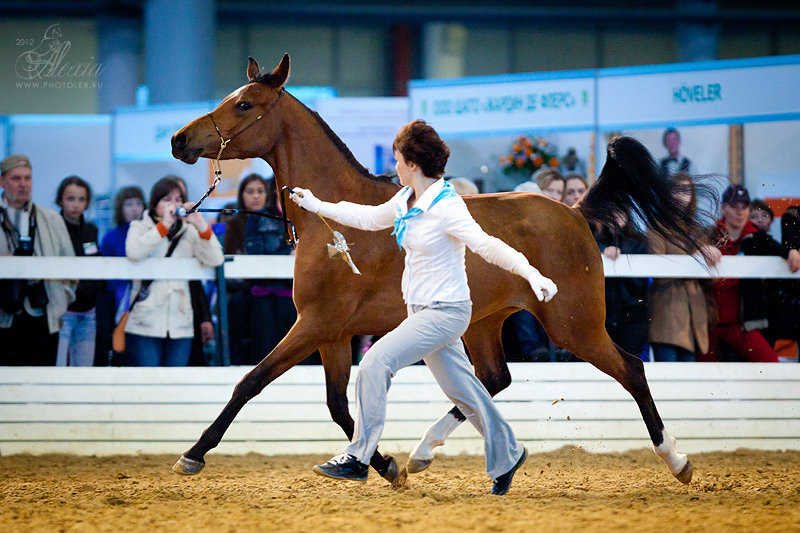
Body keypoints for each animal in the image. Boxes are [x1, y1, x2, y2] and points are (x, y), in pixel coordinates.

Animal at [170, 55, 708, 486]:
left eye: (244, 104)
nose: (180, 139)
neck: (335, 225)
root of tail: (574, 213)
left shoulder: (315, 324)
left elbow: (251, 382)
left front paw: (192, 454)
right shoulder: (333, 334)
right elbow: (339, 406)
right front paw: (383, 465)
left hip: (574, 325)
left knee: (631, 368)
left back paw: (678, 461)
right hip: (485, 324)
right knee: (493, 380)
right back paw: (423, 453)